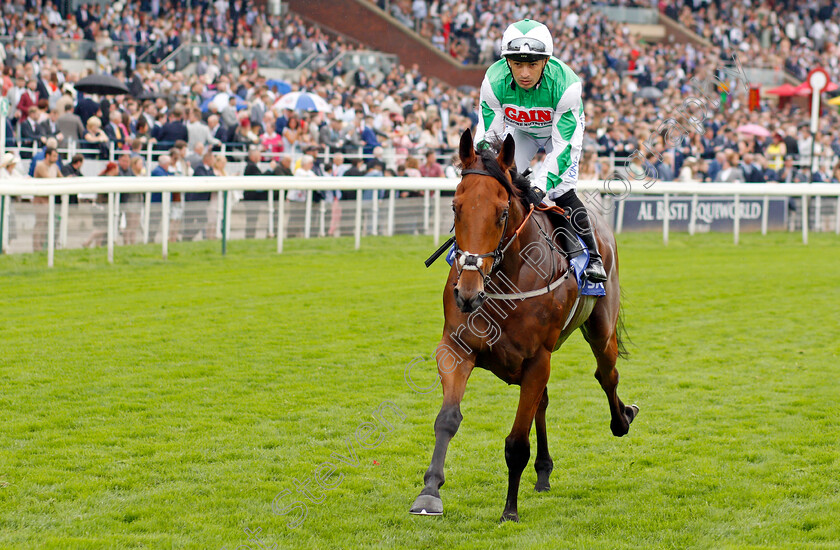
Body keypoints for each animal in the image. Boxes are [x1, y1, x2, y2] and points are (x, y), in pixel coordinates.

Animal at [410, 132, 640, 524]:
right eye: (455, 207)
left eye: (502, 213)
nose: (467, 294)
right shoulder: (456, 348)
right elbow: (447, 419)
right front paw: (429, 493)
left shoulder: (537, 360)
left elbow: (517, 443)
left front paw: (509, 511)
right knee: (543, 403)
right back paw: (544, 471)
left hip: (600, 329)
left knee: (606, 374)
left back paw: (622, 418)